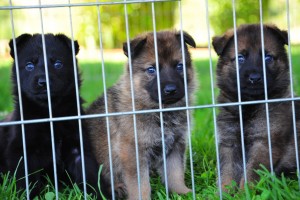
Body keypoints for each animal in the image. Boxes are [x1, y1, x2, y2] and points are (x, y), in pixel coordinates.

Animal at [0, 33, 106, 198]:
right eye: (29, 65)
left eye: (58, 64)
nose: (43, 82)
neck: (50, 114)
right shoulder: (23, 151)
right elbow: (27, 180)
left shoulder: (78, 147)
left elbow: (89, 174)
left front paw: (98, 194)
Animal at [86, 30, 197, 199]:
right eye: (151, 70)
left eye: (179, 66)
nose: (171, 90)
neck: (159, 111)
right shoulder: (133, 152)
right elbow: (141, 185)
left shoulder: (175, 146)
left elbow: (175, 173)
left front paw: (182, 192)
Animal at [212, 23, 298, 191]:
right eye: (240, 58)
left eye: (267, 57)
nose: (255, 78)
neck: (248, 105)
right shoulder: (228, 142)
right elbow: (228, 170)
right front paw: (225, 191)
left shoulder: (263, 142)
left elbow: (252, 171)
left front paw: (245, 192)